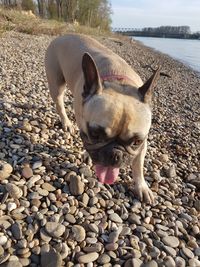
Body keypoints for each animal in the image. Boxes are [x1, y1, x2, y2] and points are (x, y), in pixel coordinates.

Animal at [45, 34, 159, 204]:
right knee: (59, 103)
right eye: (95, 134)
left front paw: (142, 187)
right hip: (56, 84)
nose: (115, 154)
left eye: (136, 142)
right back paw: (66, 122)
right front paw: (87, 155)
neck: (118, 83)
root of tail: (63, 35)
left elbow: (138, 165)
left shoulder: (143, 144)